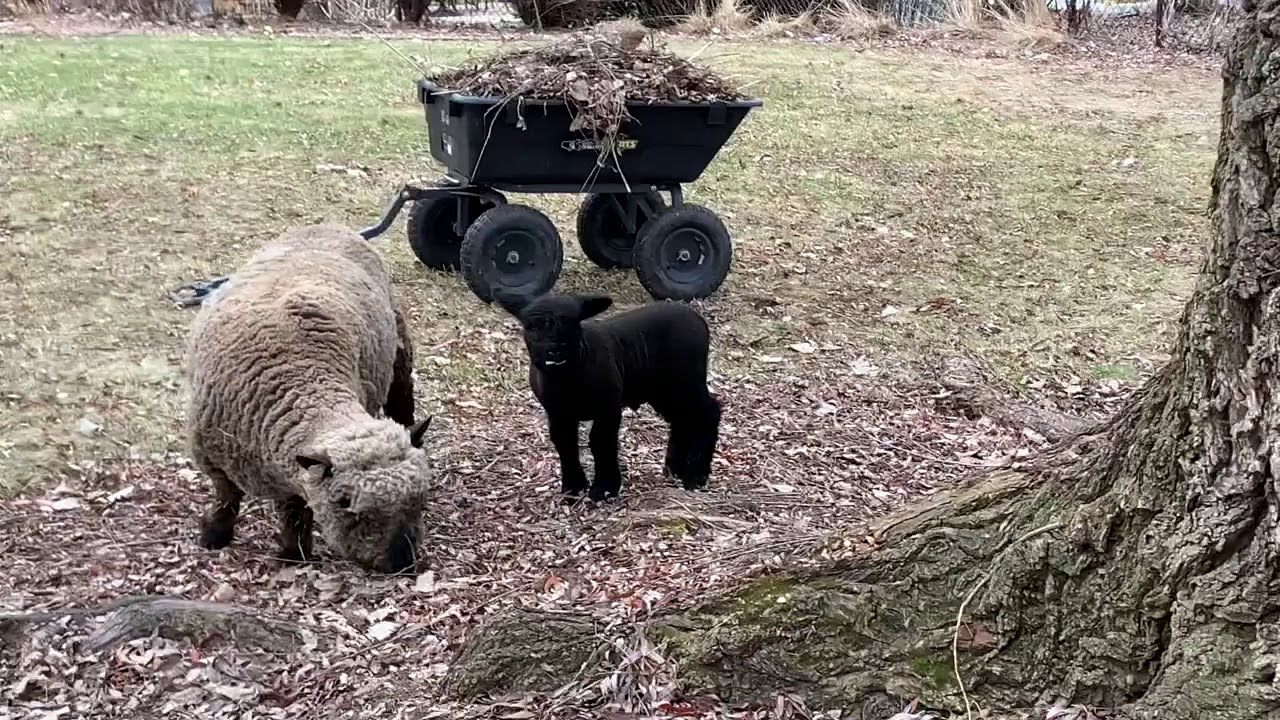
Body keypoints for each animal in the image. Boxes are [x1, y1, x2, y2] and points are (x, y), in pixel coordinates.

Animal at [185, 223, 433, 574]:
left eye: (419, 501)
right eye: (345, 502)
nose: (401, 562)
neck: (303, 380)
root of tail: (331, 225)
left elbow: (294, 509)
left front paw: (292, 552)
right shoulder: (211, 455)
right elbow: (226, 496)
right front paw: (215, 534)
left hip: (399, 346)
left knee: (402, 400)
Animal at [495, 291, 722, 502]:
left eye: (572, 324)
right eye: (531, 326)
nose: (554, 351)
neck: (567, 380)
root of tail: (696, 316)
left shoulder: (609, 406)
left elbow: (600, 441)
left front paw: (604, 488)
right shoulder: (557, 413)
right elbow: (564, 443)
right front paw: (572, 488)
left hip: (687, 379)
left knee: (709, 412)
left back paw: (697, 475)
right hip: (663, 390)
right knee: (683, 419)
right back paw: (675, 469)